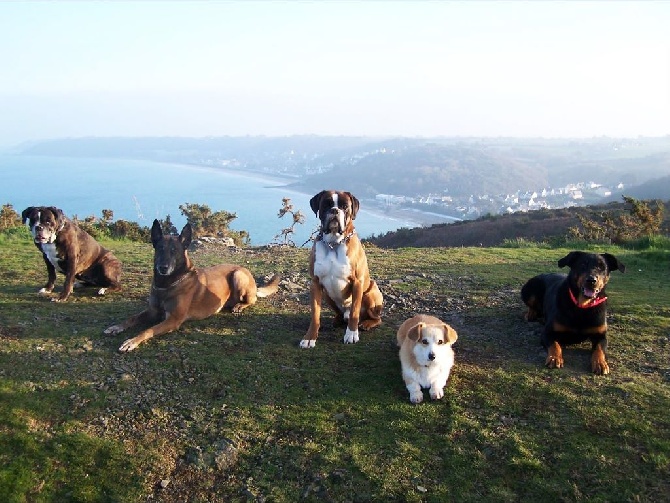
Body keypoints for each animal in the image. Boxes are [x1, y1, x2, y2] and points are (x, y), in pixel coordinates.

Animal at [104, 220, 280, 354]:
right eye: (160, 249)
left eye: (174, 251)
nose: (163, 268)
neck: (167, 285)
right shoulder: (152, 311)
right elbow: (132, 318)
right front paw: (116, 327)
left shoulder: (173, 320)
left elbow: (147, 330)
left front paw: (131, 341)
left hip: (238, 276)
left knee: (252, 299)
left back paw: (239, 306)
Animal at [304, 191, 386, 348]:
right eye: (326, 204)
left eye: (345, 206)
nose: (335, 210)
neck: (333, 243)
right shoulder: (315, 283)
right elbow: (315, 315)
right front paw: (310, 337)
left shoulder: (357, 283)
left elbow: (354, 312)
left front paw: (351, 334)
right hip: (327, 295)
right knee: (341, 314)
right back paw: (338, 320)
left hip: (370, 293)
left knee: (375, 318)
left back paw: (366, 324)